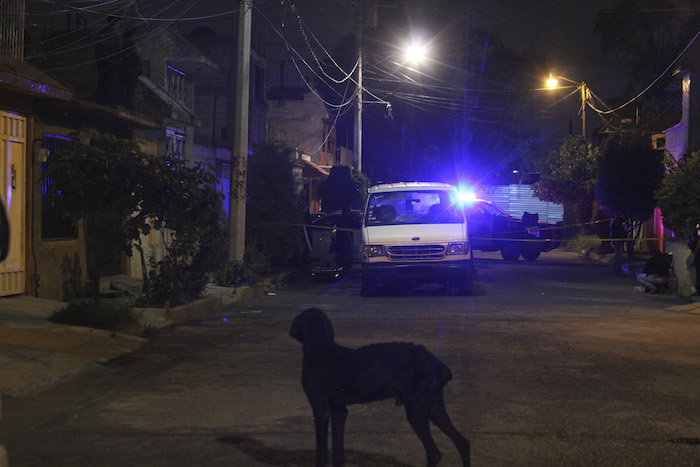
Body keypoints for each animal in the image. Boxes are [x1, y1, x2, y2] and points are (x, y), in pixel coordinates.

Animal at [290, 308, 470, 466]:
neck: (320, 346)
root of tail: (439, 364)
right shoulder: (339, 411)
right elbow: (337, 452)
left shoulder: (320, 409)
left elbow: (321, 452)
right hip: (434, 408)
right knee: (463, 442)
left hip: (416, 412)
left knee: (434, 454)